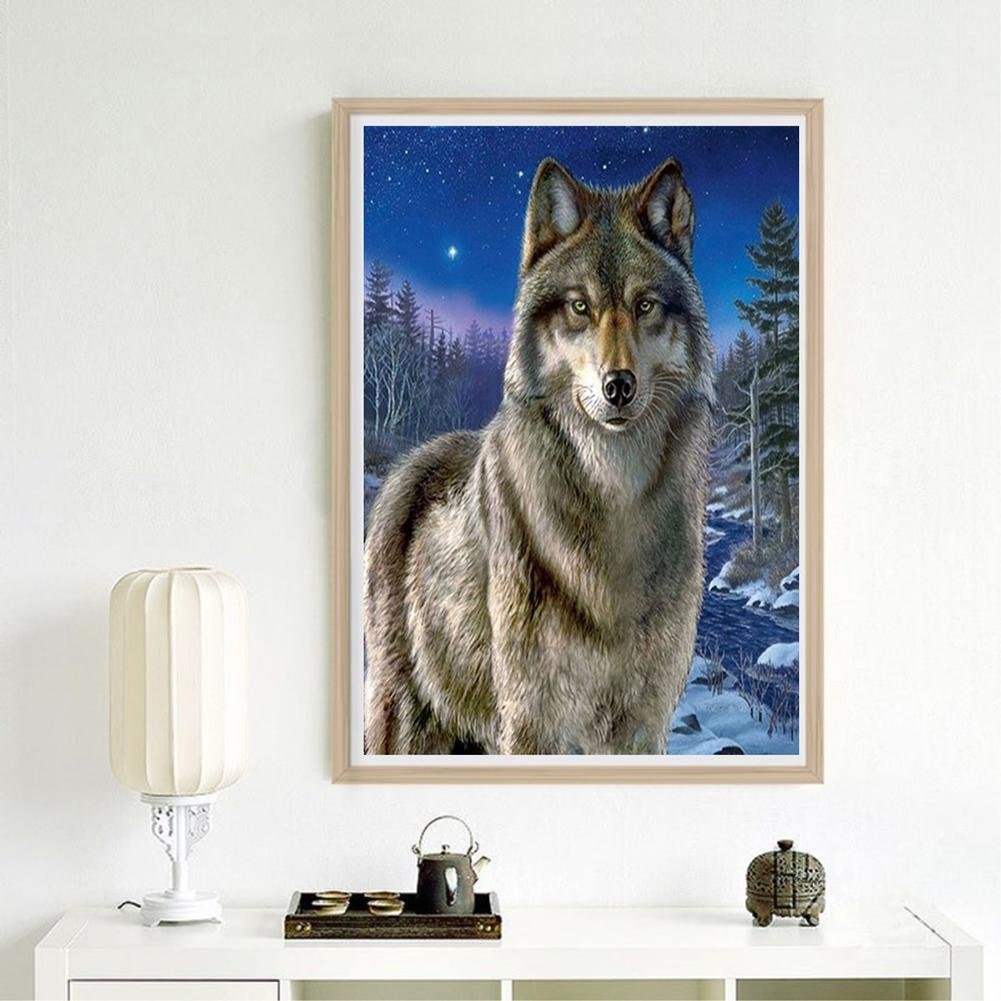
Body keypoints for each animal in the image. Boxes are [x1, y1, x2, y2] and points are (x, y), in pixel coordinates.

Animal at [364, 156, 715, 755]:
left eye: (644, 305)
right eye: (580, 307)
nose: (618, 386)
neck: (614, 503)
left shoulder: (643, 725)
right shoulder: (532, 721)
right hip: (406, 723)